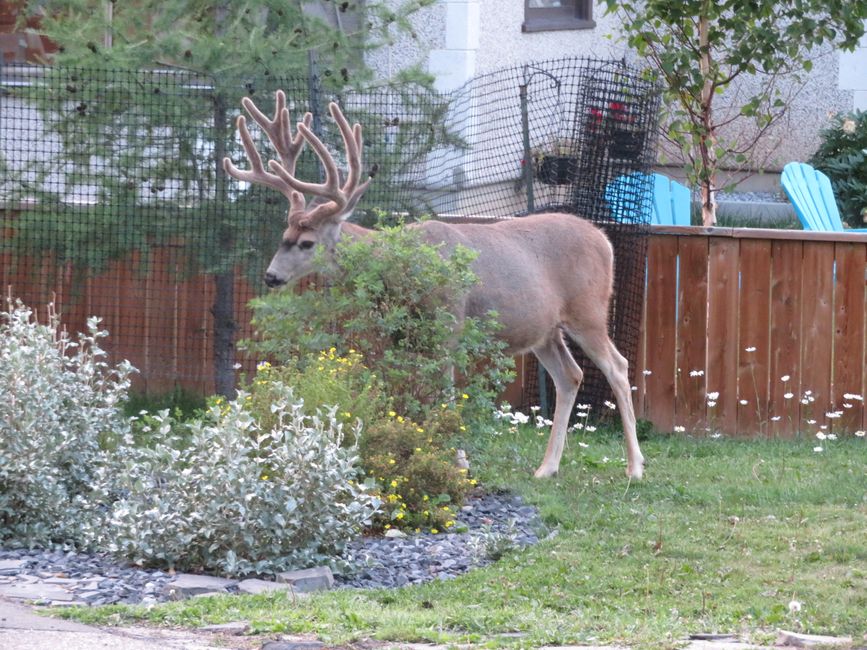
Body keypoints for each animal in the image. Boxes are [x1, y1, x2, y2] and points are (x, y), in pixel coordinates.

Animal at [224, 88, 644, 478]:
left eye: (307, 243)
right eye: (284, 236)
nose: (271, 276)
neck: (401, 263)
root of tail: (605, 240)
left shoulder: (448, 322)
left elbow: (444, 393)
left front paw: (456, 461)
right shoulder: (405, 336)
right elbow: (410, 392)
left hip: (588, 310)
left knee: (618, 366)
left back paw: (635, 467)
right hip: (544, 330)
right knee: (570, 376)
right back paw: (547, 468)